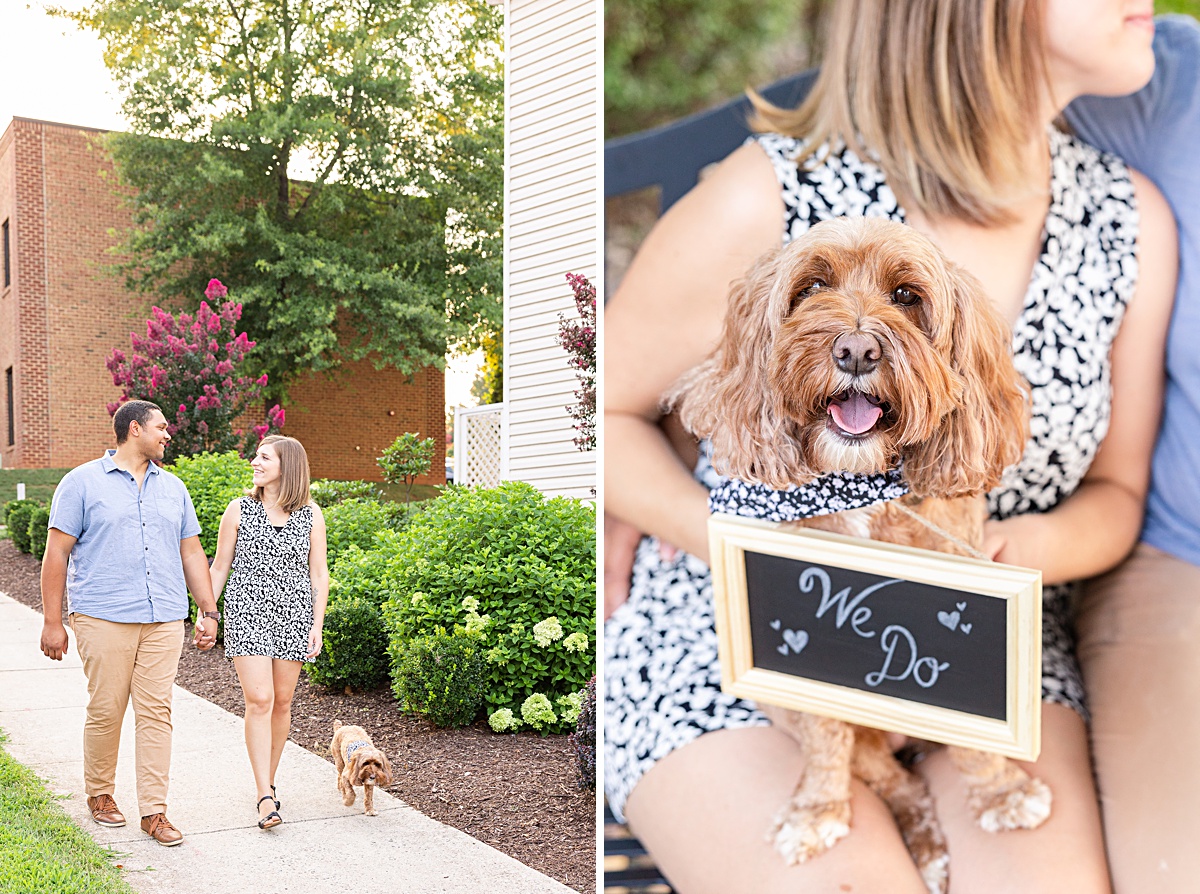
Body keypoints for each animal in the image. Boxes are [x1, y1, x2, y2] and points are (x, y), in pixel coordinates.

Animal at [676, 218, 1051, 892]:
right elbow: (827, 730)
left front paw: (1000, 793)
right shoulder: (804, 665)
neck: (858, 482)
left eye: (907, 296)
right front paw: (816, 811)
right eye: (811, 287)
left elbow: (976, 733)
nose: (855, 351)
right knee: (896, 781)